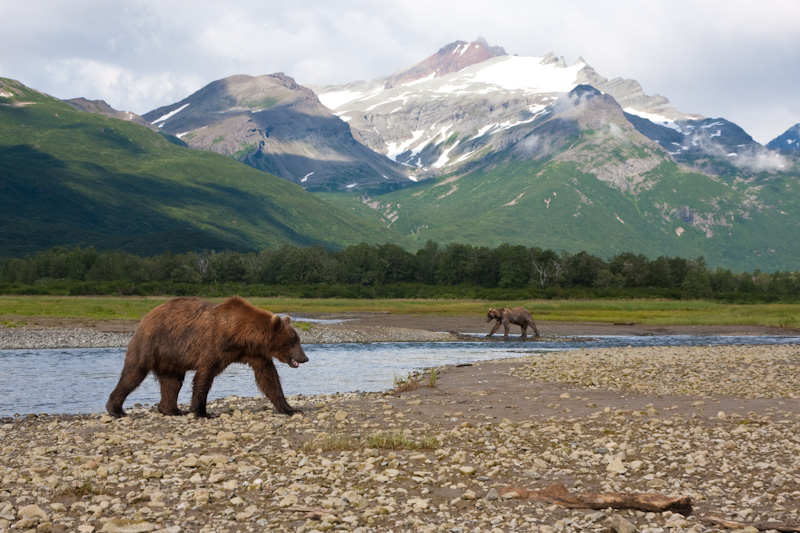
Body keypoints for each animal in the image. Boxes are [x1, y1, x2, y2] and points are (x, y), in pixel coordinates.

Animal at [106, 296, 306, 416]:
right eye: (294, 341)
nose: (305, 358)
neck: (241, 335)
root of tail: (146, 317)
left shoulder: (254, 353)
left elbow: (268, 376)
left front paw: (290, 408)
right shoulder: (215, 345)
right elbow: (205, 374)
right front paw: (202, 412)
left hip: (171, 358)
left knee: (172, 382)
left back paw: (172, 410)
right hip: (152, 343)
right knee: (134, 373)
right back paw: (116, 409)